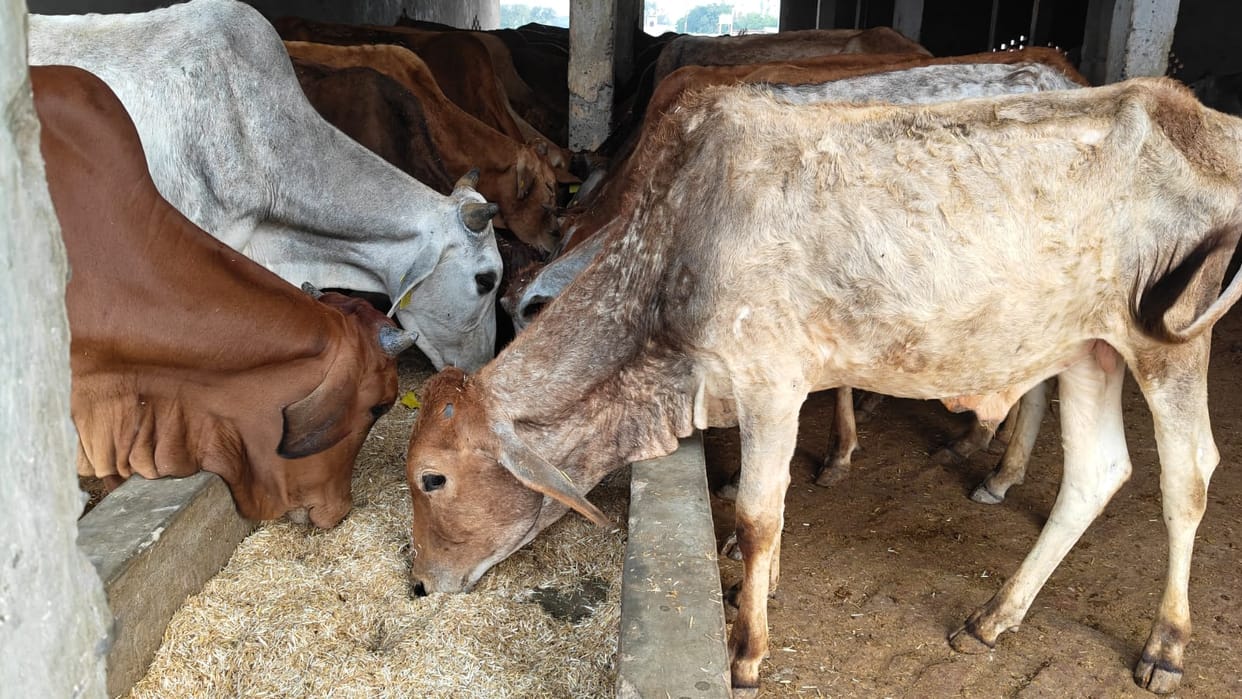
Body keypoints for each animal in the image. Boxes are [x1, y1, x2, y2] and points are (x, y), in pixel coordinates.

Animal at [402, 78, 1242, 695]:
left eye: (431, 478)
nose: (419, 583)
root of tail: (1200, 115)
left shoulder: (770, 382)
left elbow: (756, 515)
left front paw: (747, 648)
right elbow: (767, 512)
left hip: (1168, 341)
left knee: (1186, 476)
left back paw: (1165, 644)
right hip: (1088, 349)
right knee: (1097, 473)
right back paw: (993, 615)